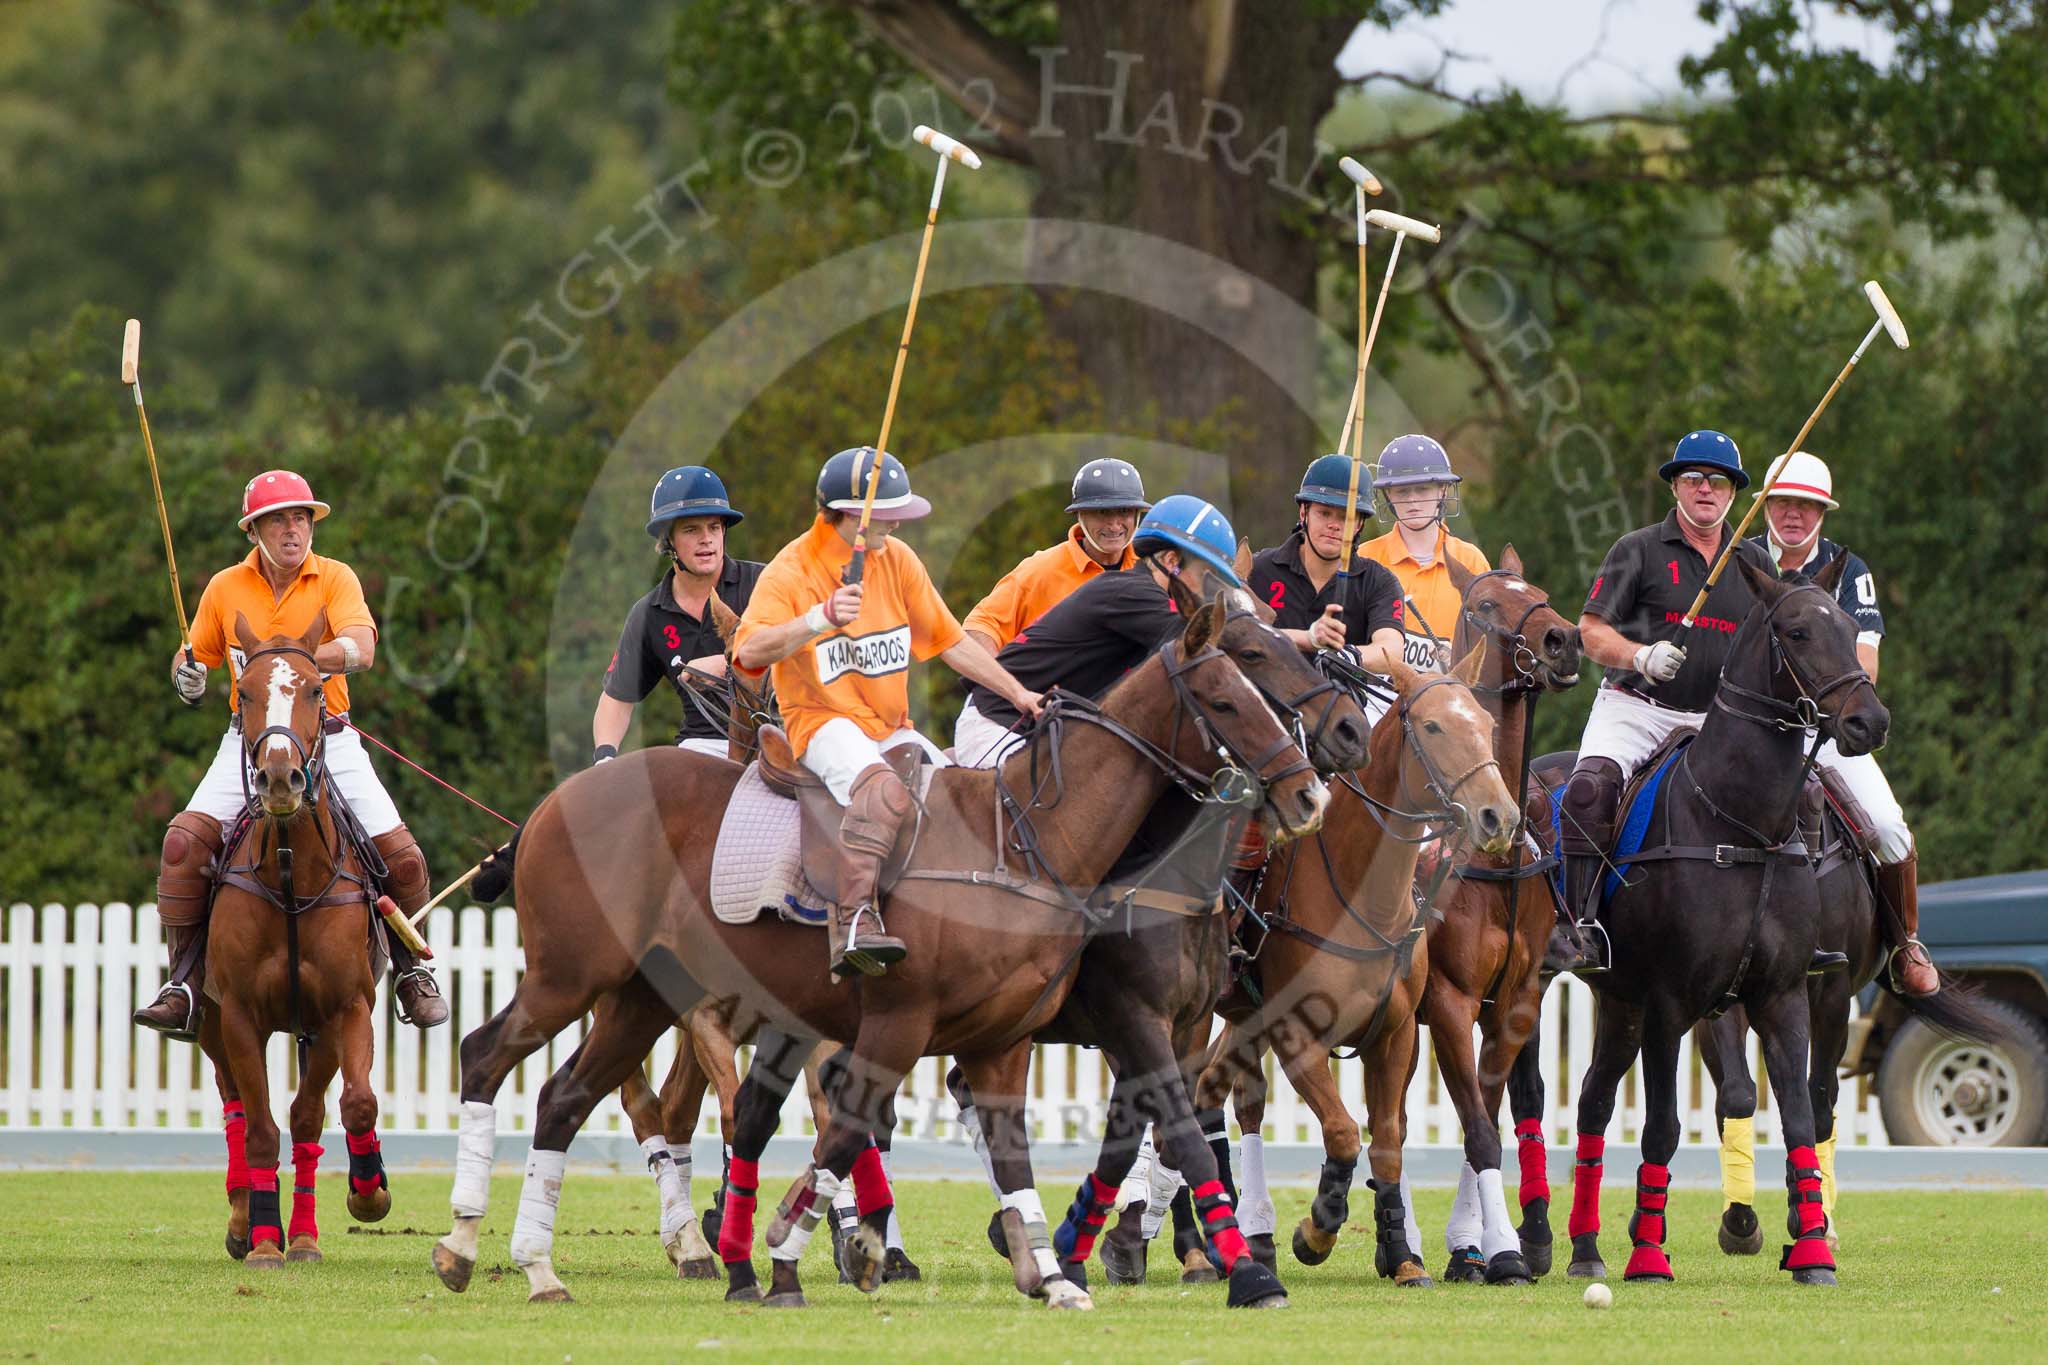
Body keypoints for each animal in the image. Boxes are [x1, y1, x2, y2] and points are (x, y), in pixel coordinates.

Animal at [196, 613, 395, 1268]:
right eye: (245, 693)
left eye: (314, 690)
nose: (281, 779)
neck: (290, 876)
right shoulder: (239, 1015)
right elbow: (260, 1128)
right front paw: (263, 1240)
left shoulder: (344, 1008)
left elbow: (342, 1107)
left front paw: (366, 1195)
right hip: (209, 1022)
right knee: (234, 1105)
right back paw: (242, 1221)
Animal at [430, 601, 1327, 1309]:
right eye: (1227, 693)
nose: (1311, 788)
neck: (1028, 844)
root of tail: (552, 803)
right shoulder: (923, 1020)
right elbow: (847, 1126)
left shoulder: (1014, 1038)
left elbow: (1032, 1145)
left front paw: (1055, 1270)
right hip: (572, 973)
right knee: (488, 1052)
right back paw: (470, 1243)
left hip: (643, 995)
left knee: (566, 1098)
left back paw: (543, 1266)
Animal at [1187, 650, 1523, 1293]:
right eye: (1434, 727)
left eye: (1487, 726)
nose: (1500, 816)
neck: (1360, 899)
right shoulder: (1297, 1036)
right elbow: (1343, 1132)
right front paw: (1315, 1230)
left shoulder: (1394, 1036)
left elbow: (1387, 1139)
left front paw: (1405, 1257)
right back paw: (1194, 1251)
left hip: (1240, 1020)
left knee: (1211, 1092)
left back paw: (1236, 1238)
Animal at [1540, 552, 1884, 1285]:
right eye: (1797, 632)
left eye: (1849, 626)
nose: (1870, 722)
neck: (1740, 823)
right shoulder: (1674, 1001)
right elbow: (1665, 1126)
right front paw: (1649, 1252)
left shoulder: (1783, 993)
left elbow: (1800, 1116)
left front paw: (1812, 1250)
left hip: (1619, 1002)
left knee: (1591, 1099)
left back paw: (1585, 1250)